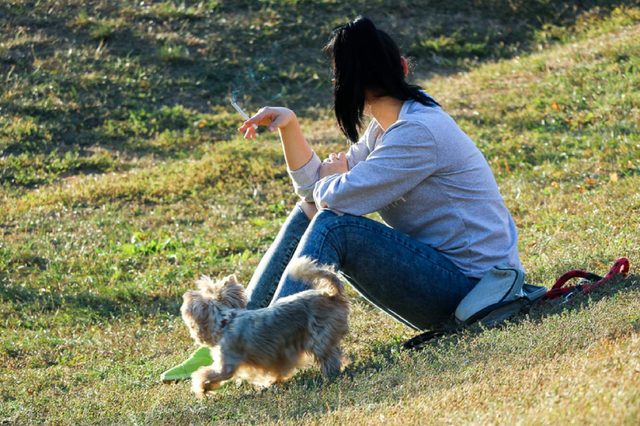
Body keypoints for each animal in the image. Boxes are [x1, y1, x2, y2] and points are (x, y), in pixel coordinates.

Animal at [180, 256, 350, 396]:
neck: (225, 320)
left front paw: (201, 387)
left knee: (329, 356)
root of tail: (330, 294)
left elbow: (208, 374)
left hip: (318, 335)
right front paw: (273, 382)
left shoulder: (227, 363)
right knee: (335, 352)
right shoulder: (278, 355)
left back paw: (330, 375)